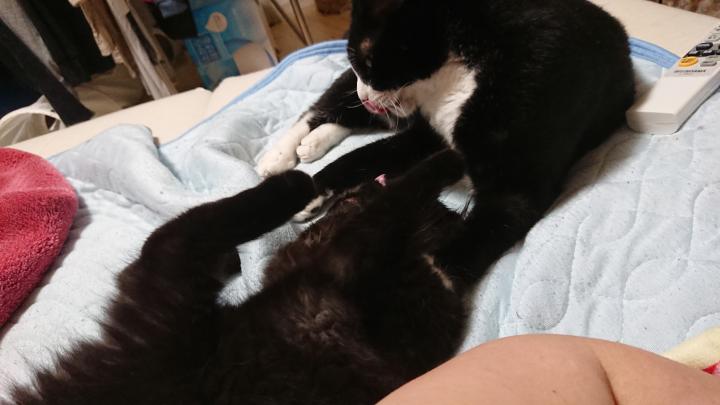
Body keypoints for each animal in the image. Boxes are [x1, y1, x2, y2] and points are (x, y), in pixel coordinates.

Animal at [257, 0, 635, 276]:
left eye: (363, 63)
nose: (364, 93)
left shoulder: (516, 176)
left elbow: (459, 249)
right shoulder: (425, 133)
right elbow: (357, 159)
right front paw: (307, 194)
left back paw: (313, 143)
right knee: (323, 108)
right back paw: (278, 156)